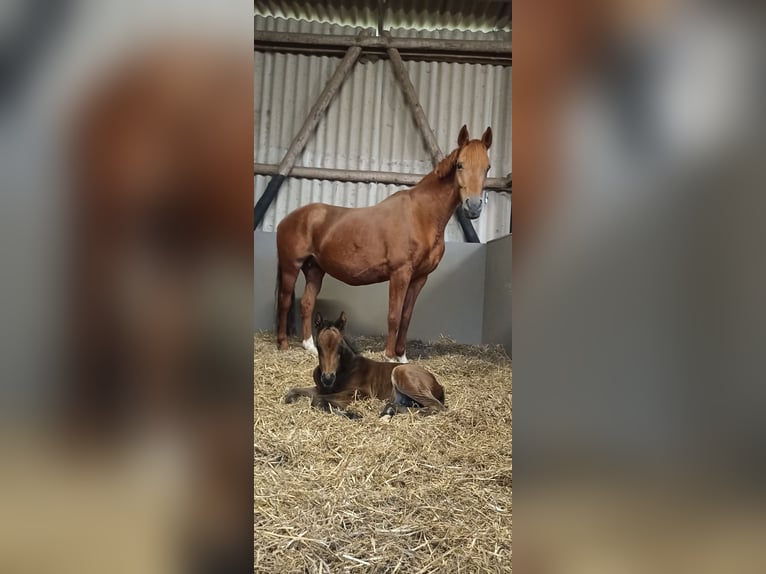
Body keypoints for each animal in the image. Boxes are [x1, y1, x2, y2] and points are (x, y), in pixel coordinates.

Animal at [276, 125, 492, 364]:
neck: (421, 215)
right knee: (285, 301)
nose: (473, 207)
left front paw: (402, 357)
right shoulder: (400, 273)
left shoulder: (419, 278)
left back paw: (310, 346)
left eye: (487, 167)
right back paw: (283, 345)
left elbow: (406, 317)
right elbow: (394, 316)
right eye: (460, 164)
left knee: (306, 303)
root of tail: (288, 218)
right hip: (291, 267)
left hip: (314, 269)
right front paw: (389, 357)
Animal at [284, 312, 448, 420]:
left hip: (401, 372)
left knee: (437, 406)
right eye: (318, 346)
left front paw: (352, 414)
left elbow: (318, 400)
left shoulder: (360, 392)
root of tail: (437, 384)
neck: (344, 369)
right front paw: (290, 399)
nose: (328, 378)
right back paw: (388, 411)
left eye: (340, 346)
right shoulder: (320, 388)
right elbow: (295, 390)